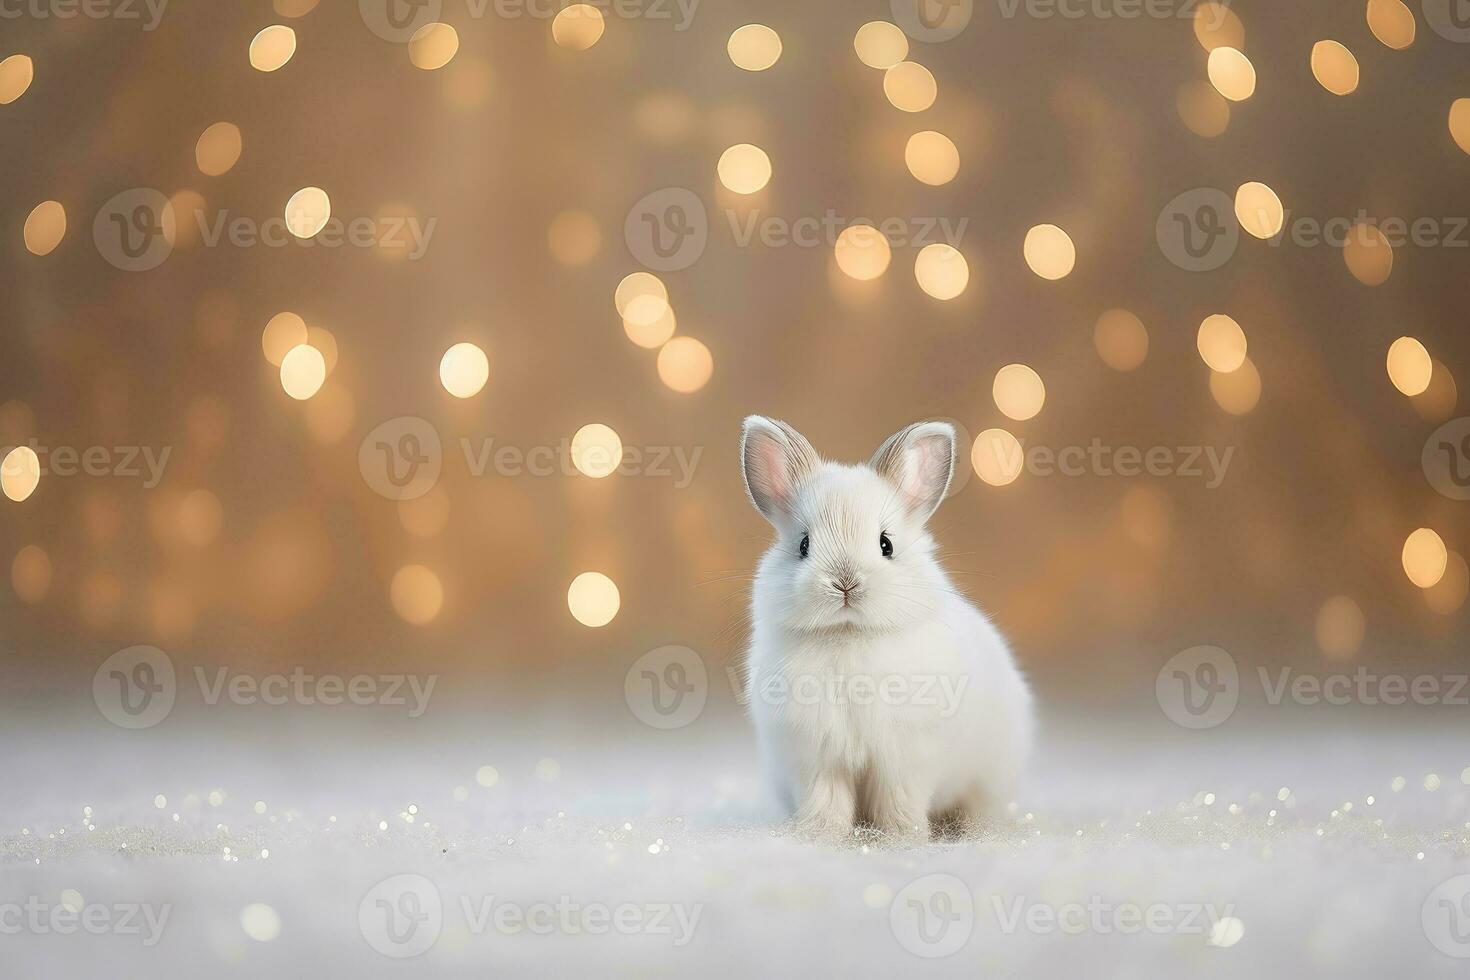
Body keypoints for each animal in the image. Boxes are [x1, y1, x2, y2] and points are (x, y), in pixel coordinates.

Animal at [735, 417, 1034, 846]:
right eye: (804, 545)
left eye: (885, 544)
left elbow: (898, 801)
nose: (844, 583)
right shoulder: (817, 759)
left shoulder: (904, 759)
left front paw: (901, 839)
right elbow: (825, 801)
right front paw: (820, 837)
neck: (848, 634)